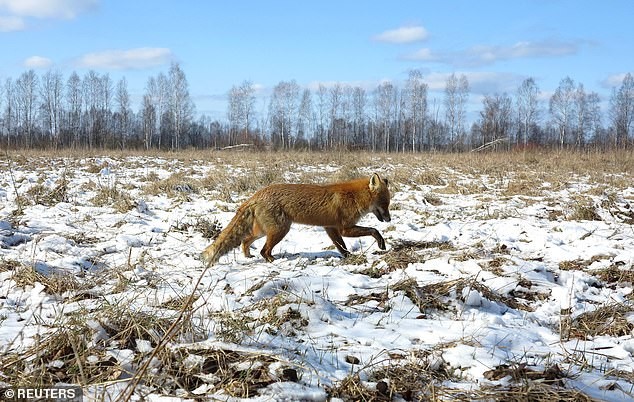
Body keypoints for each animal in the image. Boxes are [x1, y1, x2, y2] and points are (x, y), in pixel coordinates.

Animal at [202, 172, 390, 264]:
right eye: (385, 204)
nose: (389, 219)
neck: (354, 197)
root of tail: (257, 194)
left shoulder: (330, 228)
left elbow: (341, 246)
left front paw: (347, 256)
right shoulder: (345, 228)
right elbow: (373, 230)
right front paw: (381, 244)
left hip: (263, 231)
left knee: (245, 241)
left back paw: (248, 256)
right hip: (280, 230)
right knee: (264, 250)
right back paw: (273, 261)